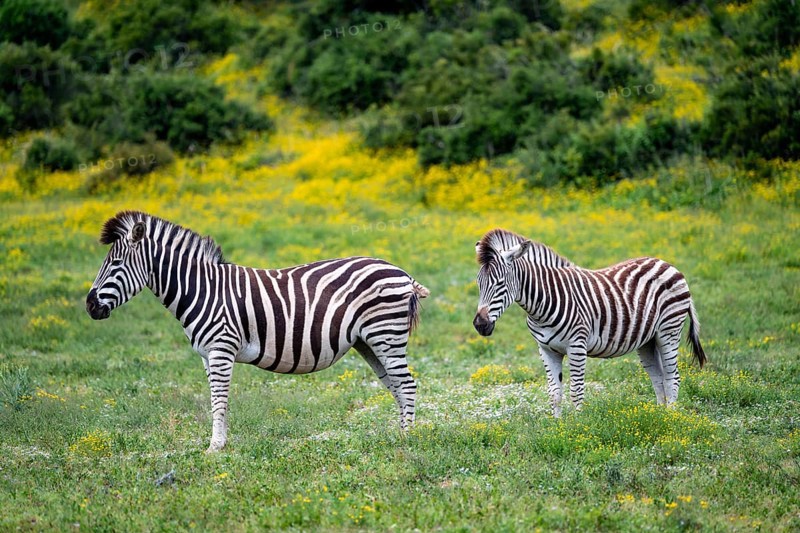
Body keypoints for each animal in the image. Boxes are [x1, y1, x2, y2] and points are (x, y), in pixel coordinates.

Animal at [86, 211, 429, 452]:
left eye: (115, 264)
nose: (89, 306)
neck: (201, 289)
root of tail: (402, 273)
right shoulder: (206, 356)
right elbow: (216, 399)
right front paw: (219, 443)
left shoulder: (221, 349)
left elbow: (219, 399)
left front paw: (215, 447)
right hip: (369, 342)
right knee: (396, 386)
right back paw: (398, 435)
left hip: (386, 335)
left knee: (407, 385)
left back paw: (407, 440)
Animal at [472, 228, 706, 417]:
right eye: (478, 284)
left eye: (500, 283)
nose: (479, 324)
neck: (543, 303)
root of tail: (667, 264)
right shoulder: (546, 350)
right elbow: (554, 393)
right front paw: (557, 428)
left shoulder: (577, 345)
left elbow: (576, 391)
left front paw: (576, 429)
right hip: (647, 340)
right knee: (658, 377)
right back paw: (659, 416)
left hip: (668, 330)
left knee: (672, 376)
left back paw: (671, 418)